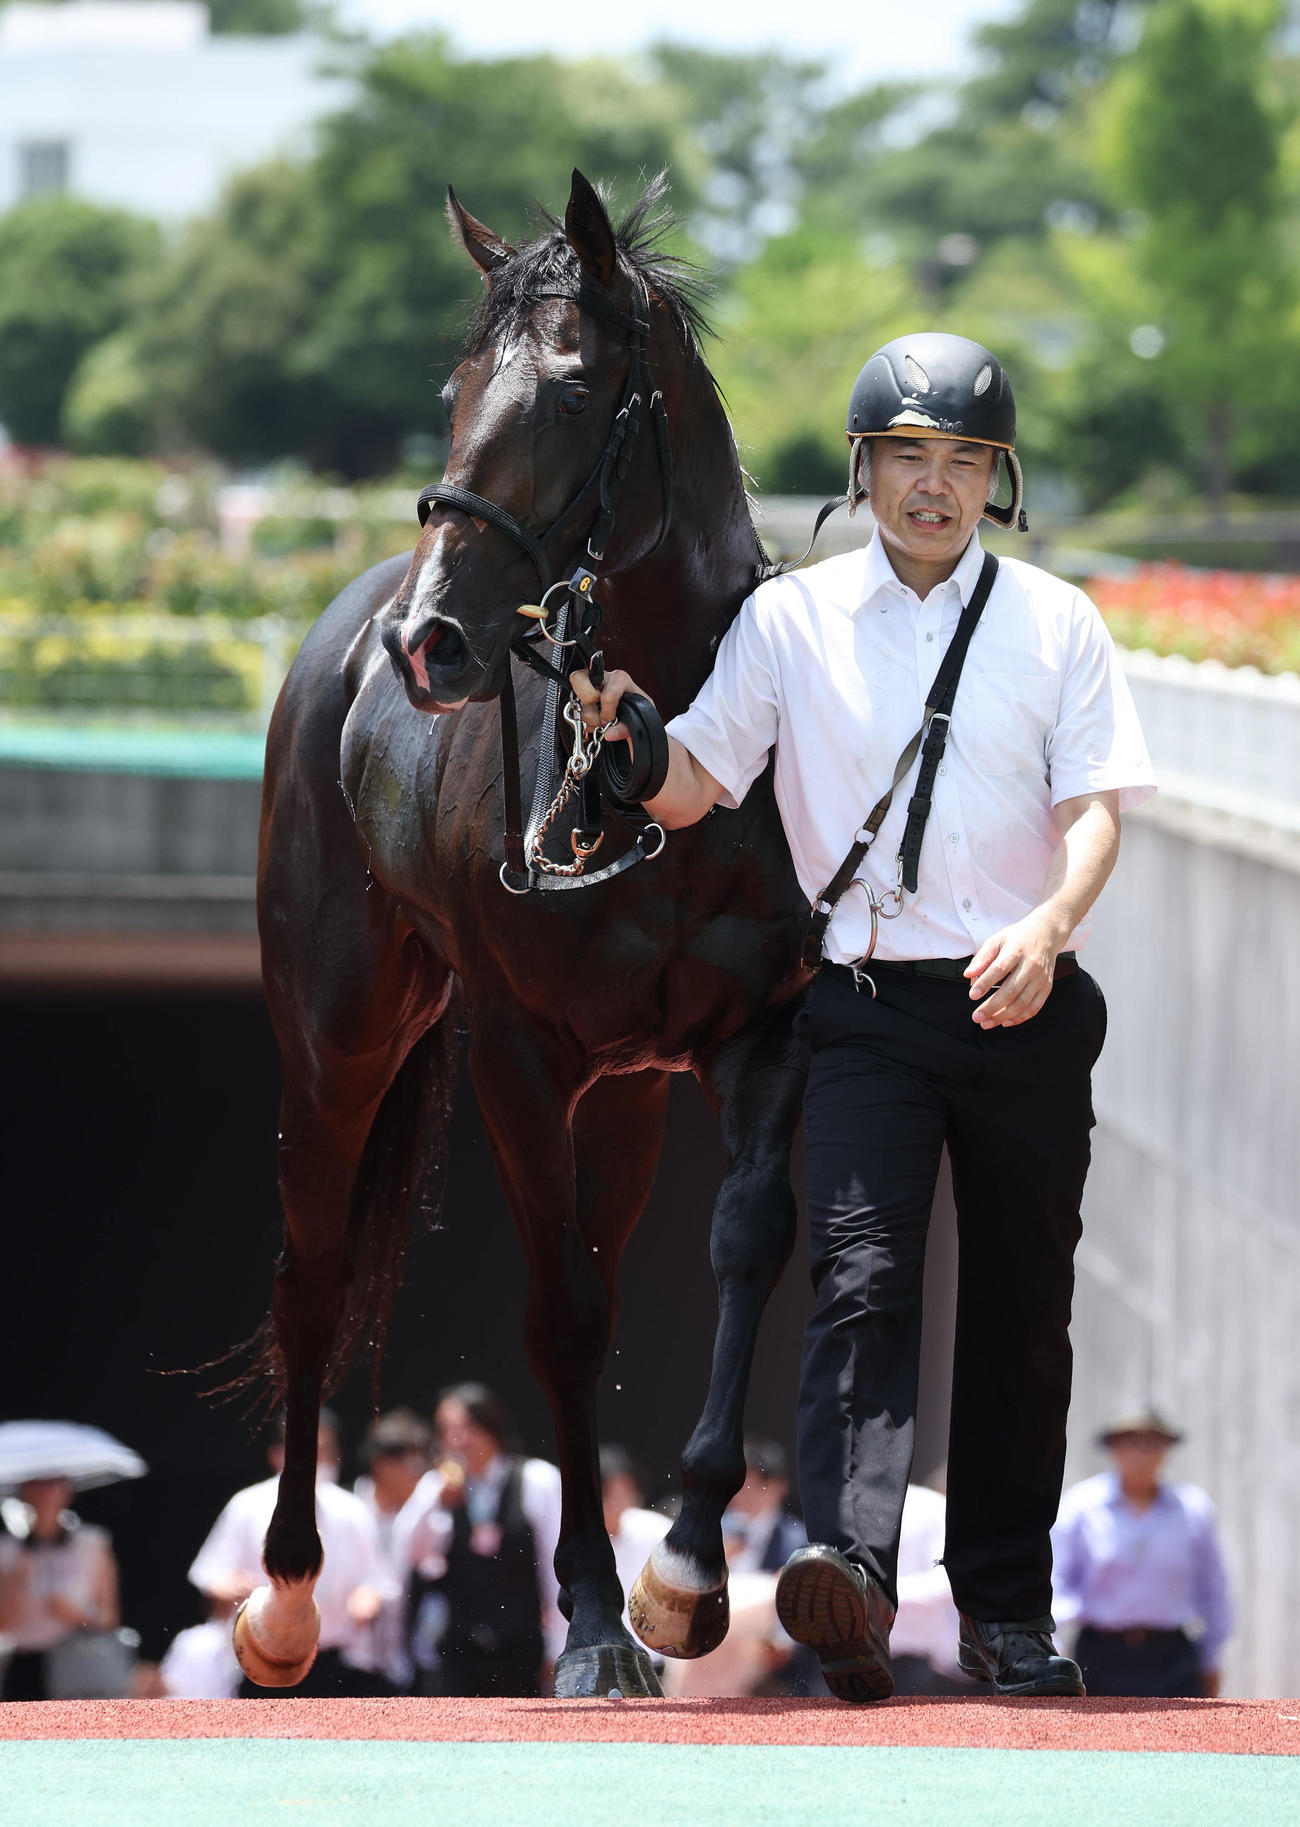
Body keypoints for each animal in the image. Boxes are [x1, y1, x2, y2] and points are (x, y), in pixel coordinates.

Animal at [235, 169, 811, 1701]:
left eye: (567, 389)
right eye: (453, 390)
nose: (433, 642)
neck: (669, 759)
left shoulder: (762, 1030)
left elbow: (744, 1247)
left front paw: (683, 1574)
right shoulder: (516, 1049)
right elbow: (559, 1315)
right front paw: (603, 1619)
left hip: (625, 1096)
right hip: (337, 1034)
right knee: (314, 1271)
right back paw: (288, 1599)